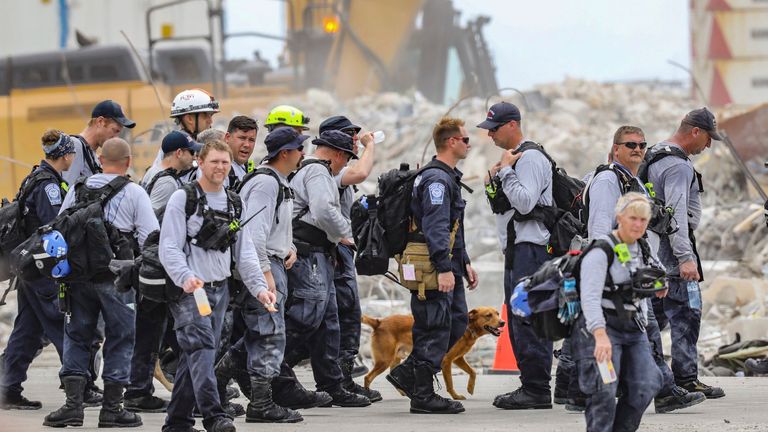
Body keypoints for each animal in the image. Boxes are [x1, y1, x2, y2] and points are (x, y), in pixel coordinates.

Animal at [360, 306, 504, 400]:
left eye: (497, 313)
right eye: (488, 315)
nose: (503, 322)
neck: (468, 327)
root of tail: (379, 322)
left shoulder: (458, 358)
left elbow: (473, 372)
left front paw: (470, 388)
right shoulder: (447, 361)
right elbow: (450, 383)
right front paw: (455, 396)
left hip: (395, 358)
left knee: (392, 374)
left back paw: (403, 391)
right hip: (384, 360)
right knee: (368, 377)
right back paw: (369, 395)